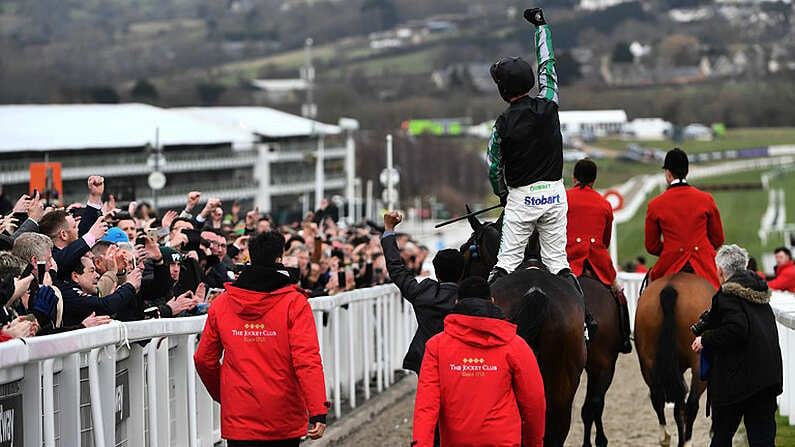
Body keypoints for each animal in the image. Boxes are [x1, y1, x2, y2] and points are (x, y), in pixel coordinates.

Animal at [636, 272, 716, 447]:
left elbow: (678, 409)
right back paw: (687, 442)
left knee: (658, 397)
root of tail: (670, 288)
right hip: (699, 365)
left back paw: (665, 437)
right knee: (692, 404)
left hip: (648, 362)